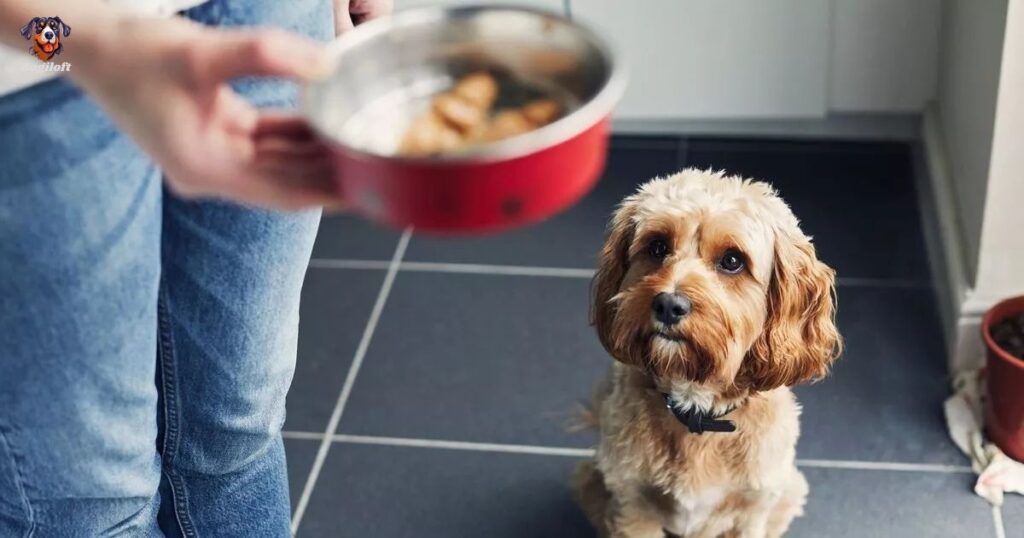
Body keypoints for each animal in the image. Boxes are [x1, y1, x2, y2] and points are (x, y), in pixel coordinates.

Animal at [569, 169, 839, 536]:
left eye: (732, 261)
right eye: (657, 246)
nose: (668, 305)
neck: (697, 410)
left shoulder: (751, 509)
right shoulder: (632, 502)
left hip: (790, 491)